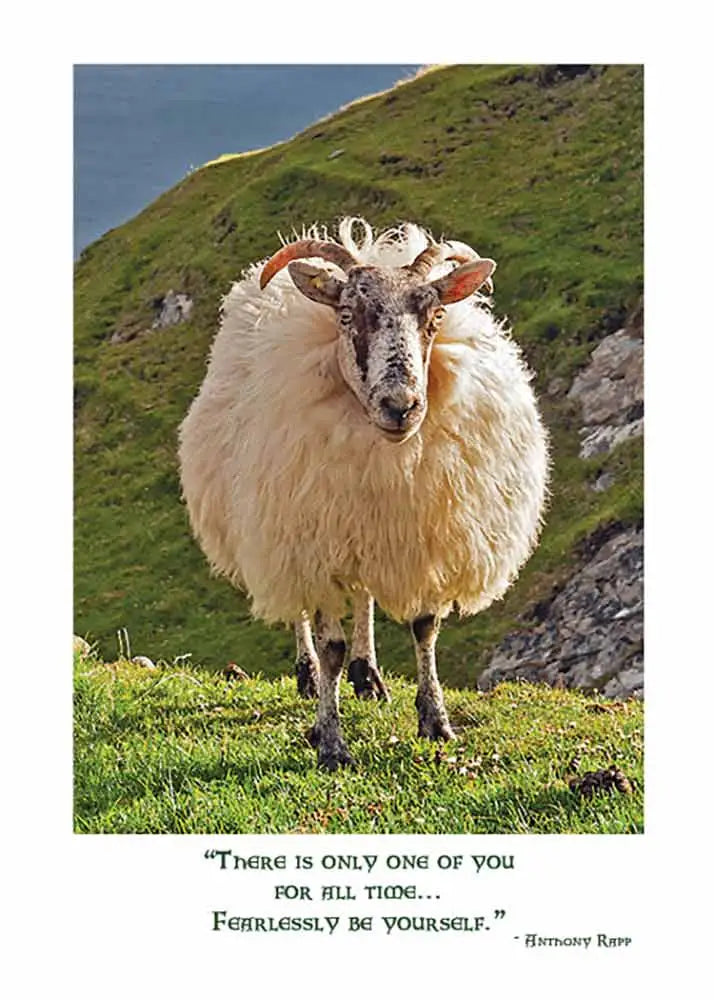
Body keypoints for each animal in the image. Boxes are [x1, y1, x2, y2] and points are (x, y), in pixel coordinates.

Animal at [178, 217, 549, 770]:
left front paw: (435, 721)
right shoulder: (316, 540)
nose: (401, 405)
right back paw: (311, 675)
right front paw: (331, 742)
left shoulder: (417, 533)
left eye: (436, 315)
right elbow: (329, 641)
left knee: (365, 594)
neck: (386, 458)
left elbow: (424, 628)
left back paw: (367, 673)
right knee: (301, 611)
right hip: (281, 528)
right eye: (347, 314)